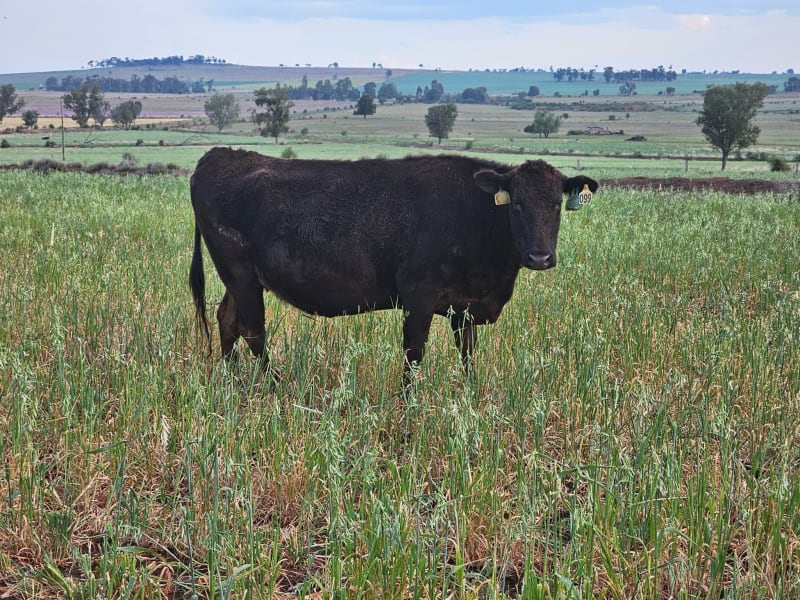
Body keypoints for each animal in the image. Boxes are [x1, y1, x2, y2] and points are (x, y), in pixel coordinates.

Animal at [189, 147, 598, 384]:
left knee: (227, 319)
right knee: (253, 330)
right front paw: (407, 409)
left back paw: (231, 380)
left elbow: (468, 355)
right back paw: (273, 386)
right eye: (516, 204)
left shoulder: (464, 308)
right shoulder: (418, 298)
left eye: (556, 204)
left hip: (237, 278)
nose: (540, 257)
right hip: (241, 273)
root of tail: (220, 154)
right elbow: (413, 356)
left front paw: (469, 397)